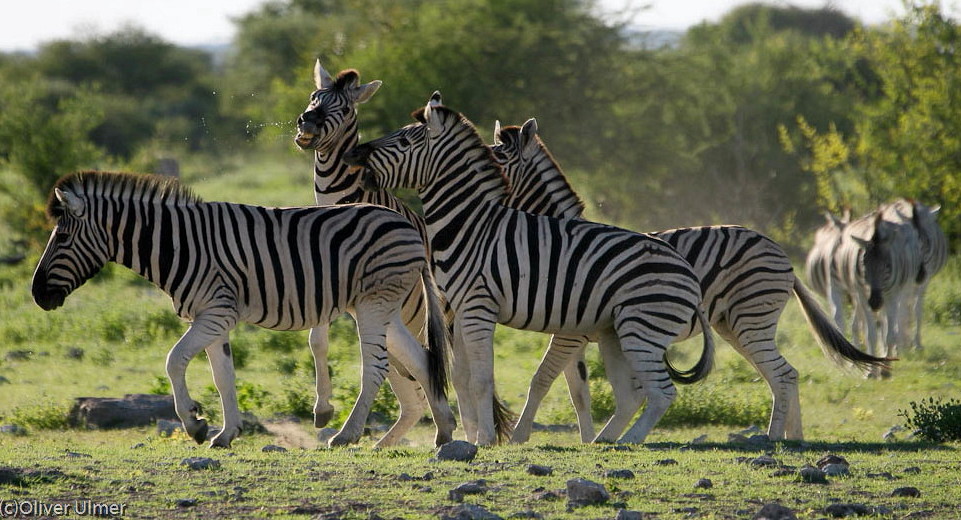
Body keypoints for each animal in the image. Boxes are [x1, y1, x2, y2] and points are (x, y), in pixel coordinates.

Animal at [31, 171, 456, 446]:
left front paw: (194, 425)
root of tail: (408, 225)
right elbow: (224, 377)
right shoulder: (213, 317)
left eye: (62, 237)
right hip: (387, 308)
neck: (175, 246)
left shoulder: (216, 312)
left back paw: (346, 434)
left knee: (378, 367)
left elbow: (174, 361)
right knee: (422, 358)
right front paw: (225, 433)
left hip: (372, 304)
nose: (37, 296)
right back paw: (445, 431)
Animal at [344, 92, 712, 442]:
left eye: (405, 142)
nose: (352, 155)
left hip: (642, 327)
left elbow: (490, 380)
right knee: (631, 396)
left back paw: (627, 440)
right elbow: (466, 378)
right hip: (617, 332)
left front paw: (489, 439)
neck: (472, 224)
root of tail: (685, 269)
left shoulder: (485, 309)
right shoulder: (461, 310)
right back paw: (604, 441)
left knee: (662, 393)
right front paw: (473, 436)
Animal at [492, 119, 888, 442]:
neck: (560, 240)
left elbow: (542, 378)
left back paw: (774, 438)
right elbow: (577, 391)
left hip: (750, 319)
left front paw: (520, 437)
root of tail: (782, 255)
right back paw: (794, 438)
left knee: (783, 375)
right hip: (733, 324)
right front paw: (588, 438)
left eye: (496, 158)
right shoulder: (575, 330)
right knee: (786, 374)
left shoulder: (572, 331)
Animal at [876, 197, 944, 352]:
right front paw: (899, 345)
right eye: (912, 244)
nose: (920, 275)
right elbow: (901, 311)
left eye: (928, 242)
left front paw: (916, 343)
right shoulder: (904, 283)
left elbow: (916, 309)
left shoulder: (924, 281)